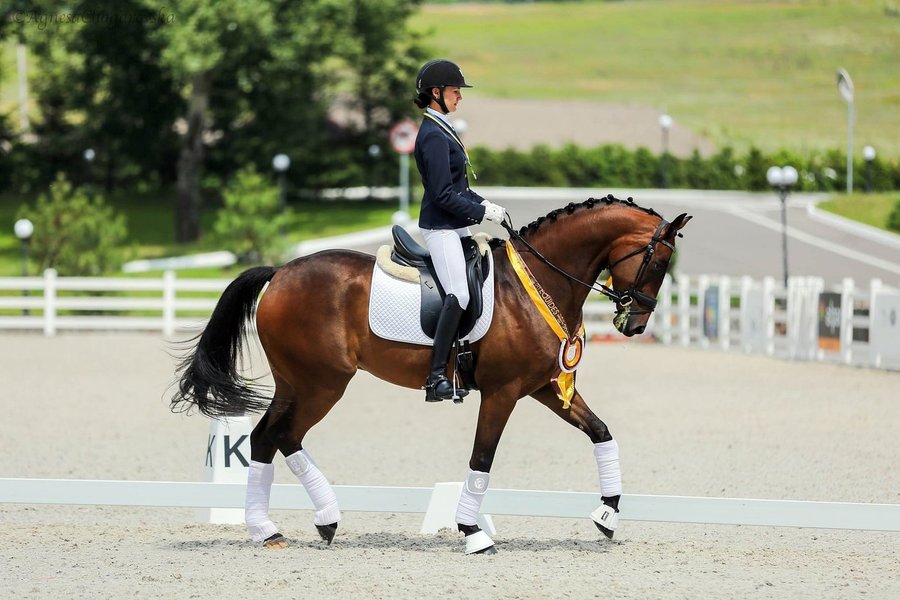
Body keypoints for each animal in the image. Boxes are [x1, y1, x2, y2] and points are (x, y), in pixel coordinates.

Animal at [172, 196, 692, 552]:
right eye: (658, 260)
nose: (634, 324)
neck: (535, 284)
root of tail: (280, 272)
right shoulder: (503, 393)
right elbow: (482, 458)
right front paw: (472, 532)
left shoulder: (545, 388)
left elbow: (601, 432)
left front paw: (607, 514)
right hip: (321, 383)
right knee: (281, 436)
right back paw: (298, 523)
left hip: (298, 384)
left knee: (269, 438)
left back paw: (285, 527)